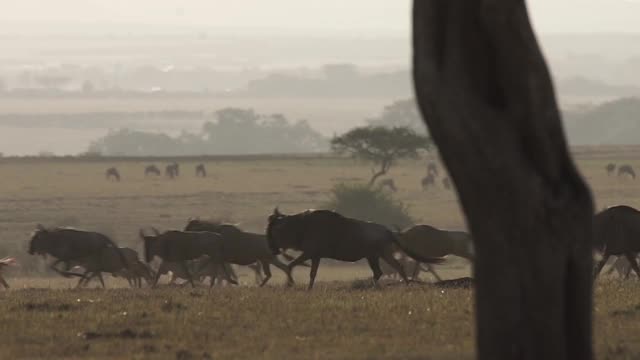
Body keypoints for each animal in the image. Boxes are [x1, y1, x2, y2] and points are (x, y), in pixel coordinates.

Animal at [268, 208, 442, 290]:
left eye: (273, 231)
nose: (272, 249)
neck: (301, 225)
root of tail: (388, 231)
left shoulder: (309, 253)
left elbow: (291, 265)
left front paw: (289, 284)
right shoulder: (315, 256)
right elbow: (312, 273)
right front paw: (309, 289)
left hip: (378, 255)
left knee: (392, 268)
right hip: (376, 255)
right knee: (386, 270)